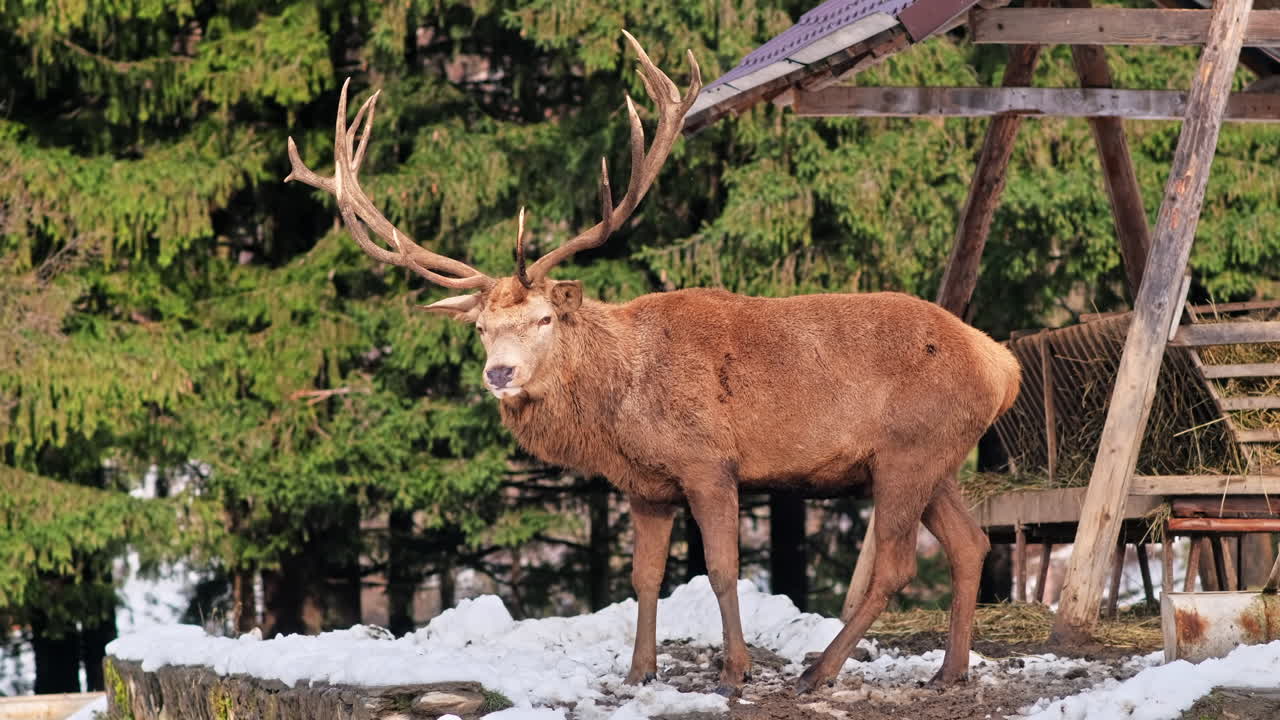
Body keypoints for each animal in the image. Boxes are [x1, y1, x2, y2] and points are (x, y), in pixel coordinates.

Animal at [285, 31, 1021, 697]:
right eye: (482, 328)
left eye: (544, 318)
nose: (500, 374)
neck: (620, 406)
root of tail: (1002, 363)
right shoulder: (645, 486)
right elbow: (643, 577)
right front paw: (640, 671)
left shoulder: (709, 461)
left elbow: (721, 570)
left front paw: (734, 671)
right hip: (935, 457)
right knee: (971, 545)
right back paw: (948, 673)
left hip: (907, 450)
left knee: (896, 565)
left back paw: (818, 672)